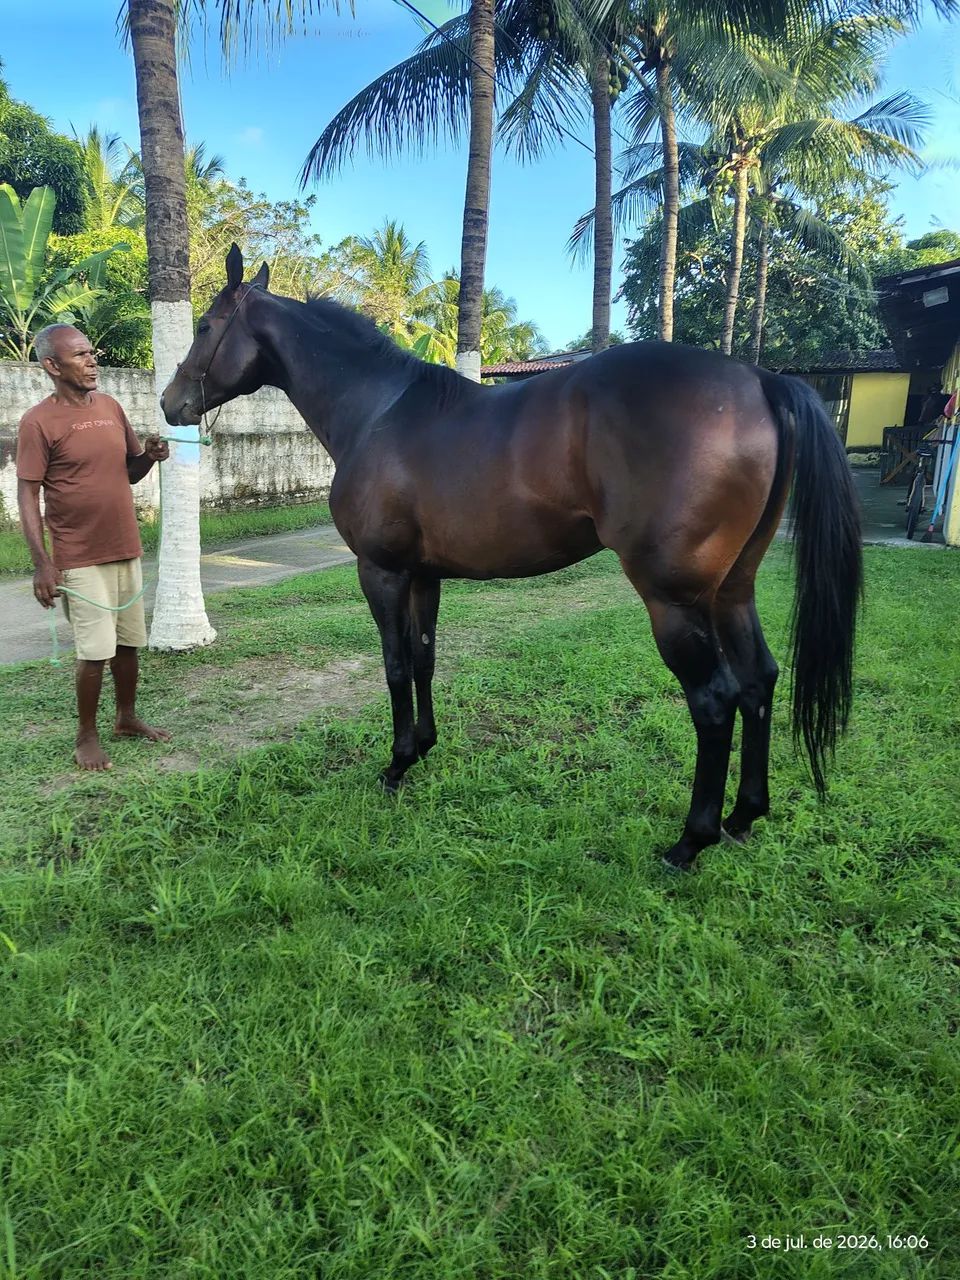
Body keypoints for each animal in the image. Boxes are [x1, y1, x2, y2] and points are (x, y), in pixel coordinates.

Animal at [162, 245, 862, 872]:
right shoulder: (424, 575)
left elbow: (393, 664)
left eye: (204, 326)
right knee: (759, 680)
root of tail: (761, 380)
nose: (170, 404)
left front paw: (395, 764)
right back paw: (744, 816)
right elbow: (423, 657)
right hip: (731, 591)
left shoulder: (382, 571)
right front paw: (423, 748)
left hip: (676, 602)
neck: (379, 410)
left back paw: (691, 842)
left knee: (715, 700)